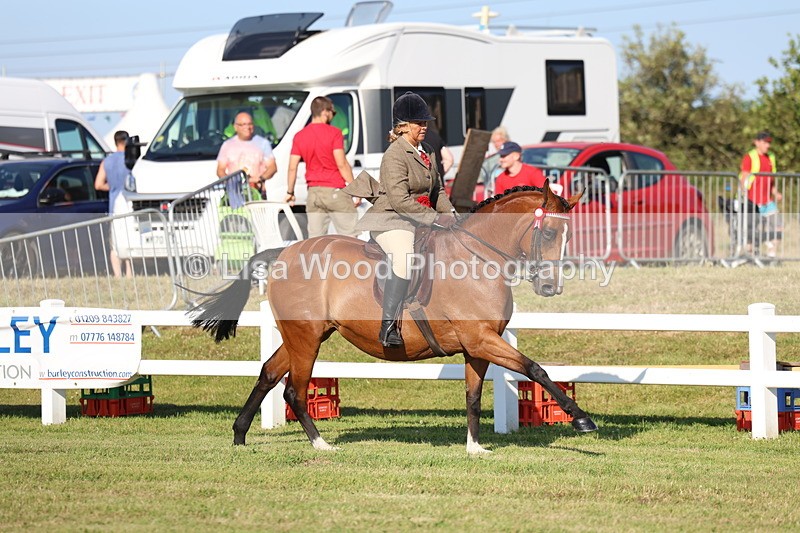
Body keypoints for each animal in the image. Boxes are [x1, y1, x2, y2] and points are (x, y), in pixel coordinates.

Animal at [190, 182, 598, 454]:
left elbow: (474, 395)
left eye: (567, 236)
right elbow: (535, 369)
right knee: (294, 390)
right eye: (548, 231)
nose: (551, 287)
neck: (478, 259)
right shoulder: (482, 340)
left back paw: (240, 435)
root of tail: (284, 252)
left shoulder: (478, 346)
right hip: (305, 339)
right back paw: (321, 445)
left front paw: (474, 448)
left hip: (305, 336)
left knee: (268, 374)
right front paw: (581, 419)